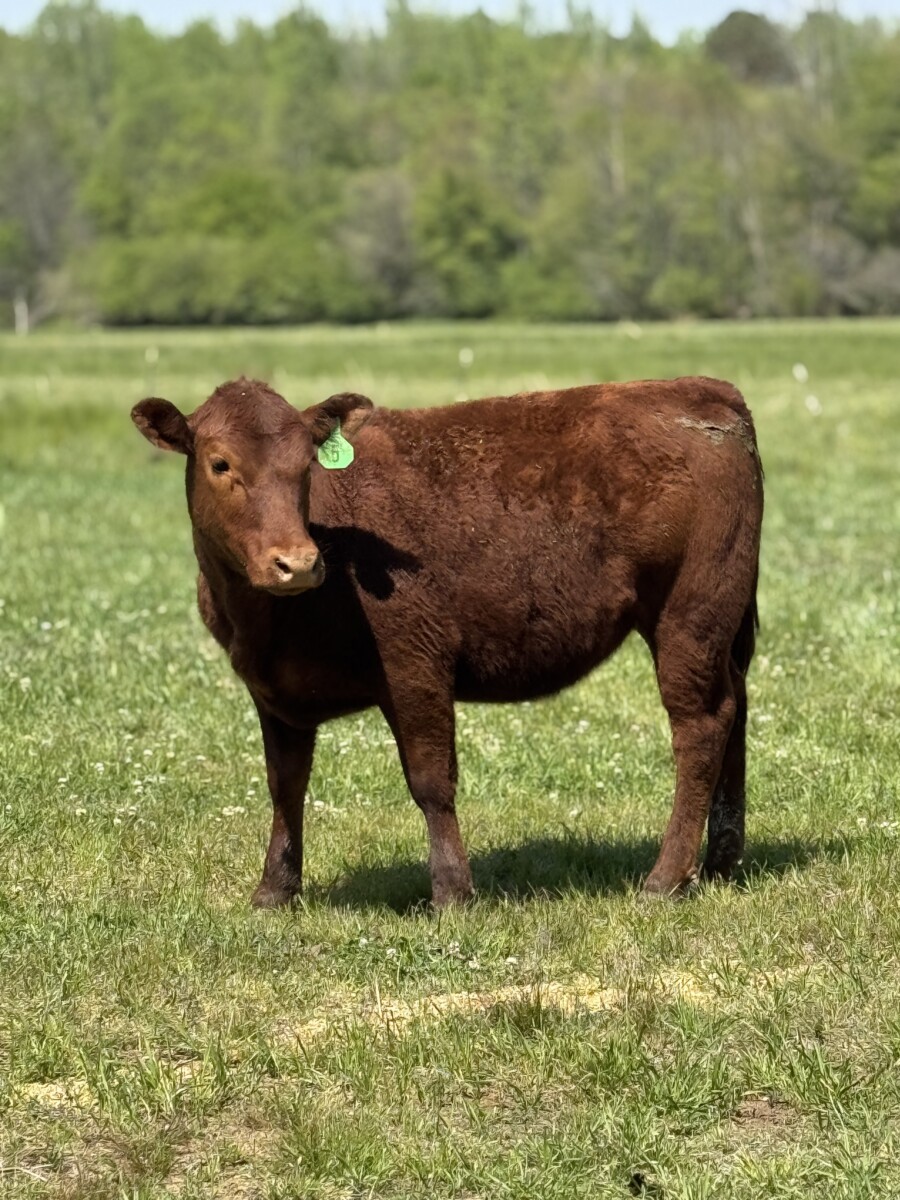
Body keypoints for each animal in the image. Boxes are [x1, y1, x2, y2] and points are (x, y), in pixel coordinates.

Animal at [132, 375, 763, 907]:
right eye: (220, 463)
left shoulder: (415, 666)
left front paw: (453, 892)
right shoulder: (273, 693)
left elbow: (431, 781)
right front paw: (274, 890)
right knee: (734, 709)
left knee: (700, 726)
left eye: (306, 466)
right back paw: (720, 862)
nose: (298, 563)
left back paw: (665, 878)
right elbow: (284, 786)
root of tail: (704, 389)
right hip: (716, 631)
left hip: (689, 616)